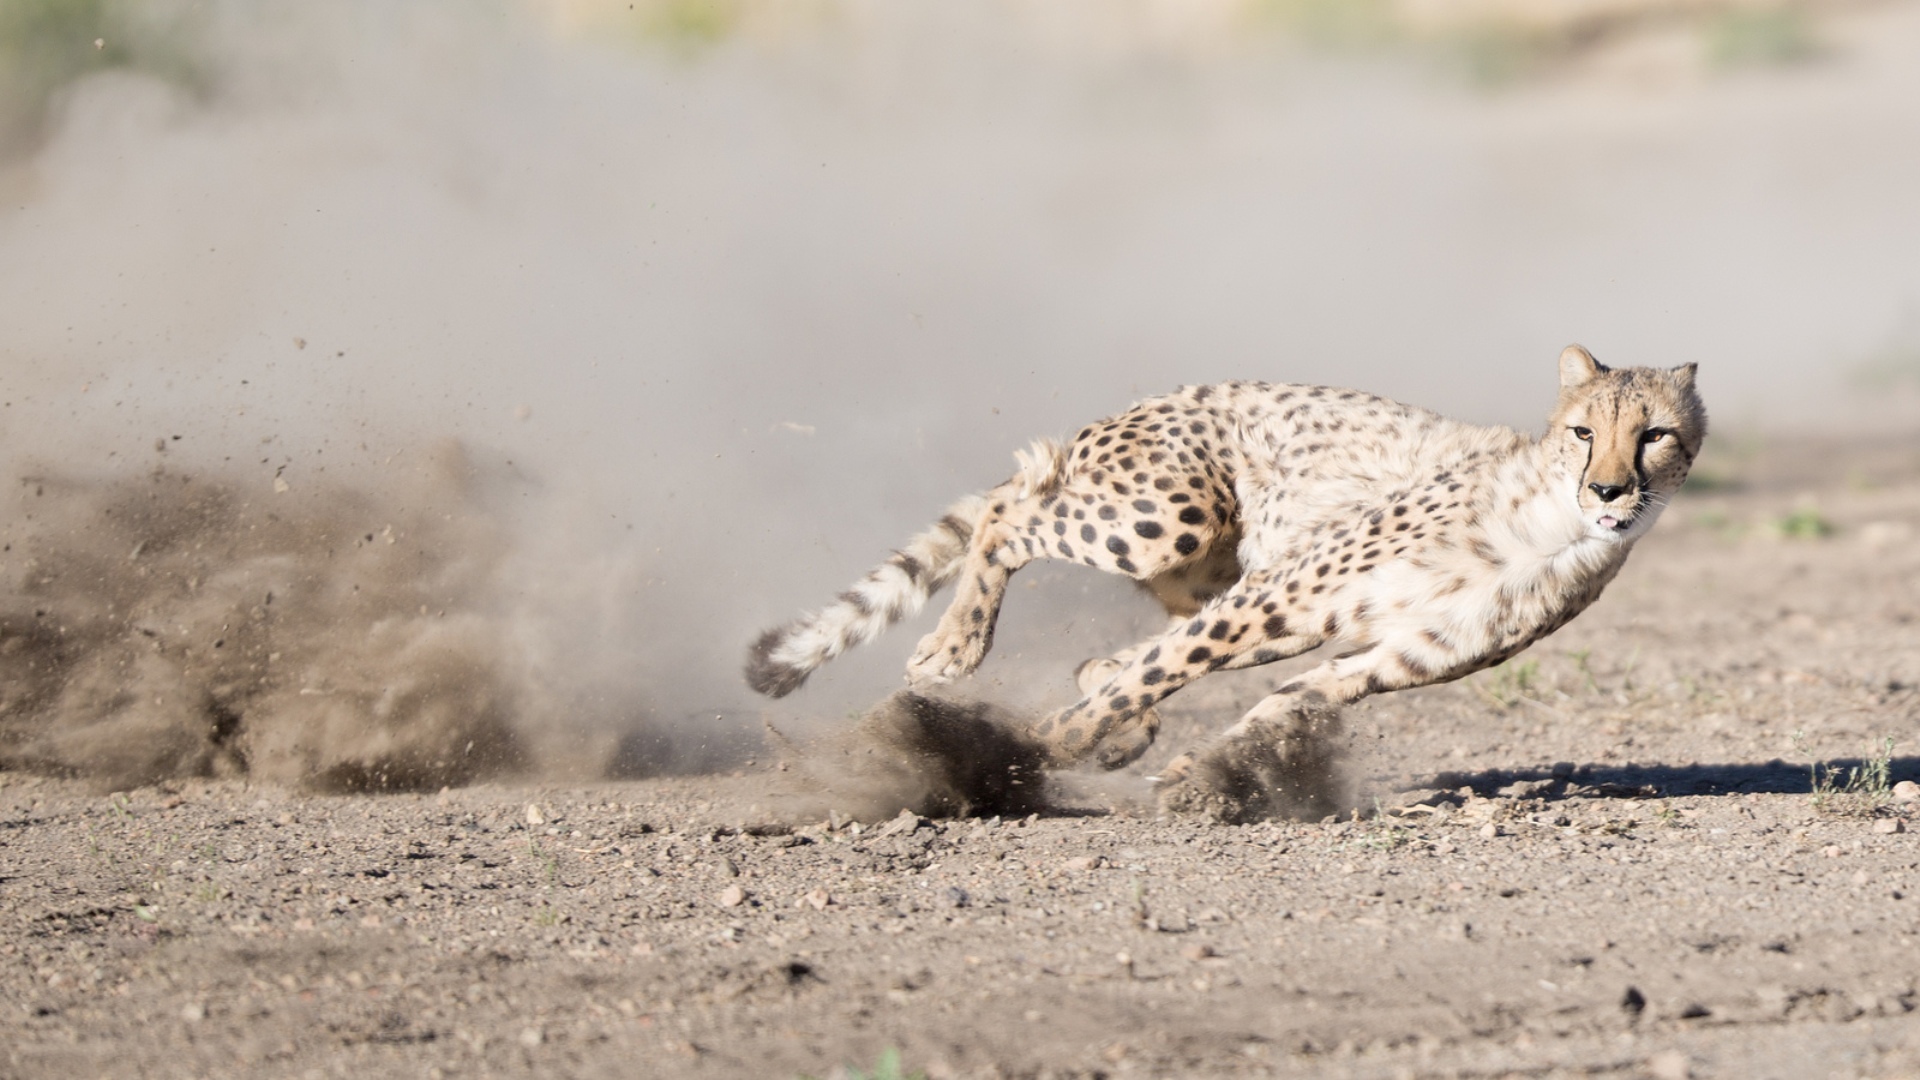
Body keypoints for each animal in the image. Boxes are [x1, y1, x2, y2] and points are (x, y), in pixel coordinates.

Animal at [748, 349, 1712, 818]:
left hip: (1216, 567)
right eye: (1584, 433)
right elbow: (1143, 680)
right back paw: (958, 647)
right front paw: (1026, 752)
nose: (1610, 490)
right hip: (1169, 521)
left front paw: (1195, 774)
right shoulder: (1281, 598)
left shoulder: (1374, 655)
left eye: (1655, 434)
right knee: (1013, 509)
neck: (1547, 523)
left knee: (1134, 634)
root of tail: (1161, 395)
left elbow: (1280, 706)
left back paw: (1121, 724)